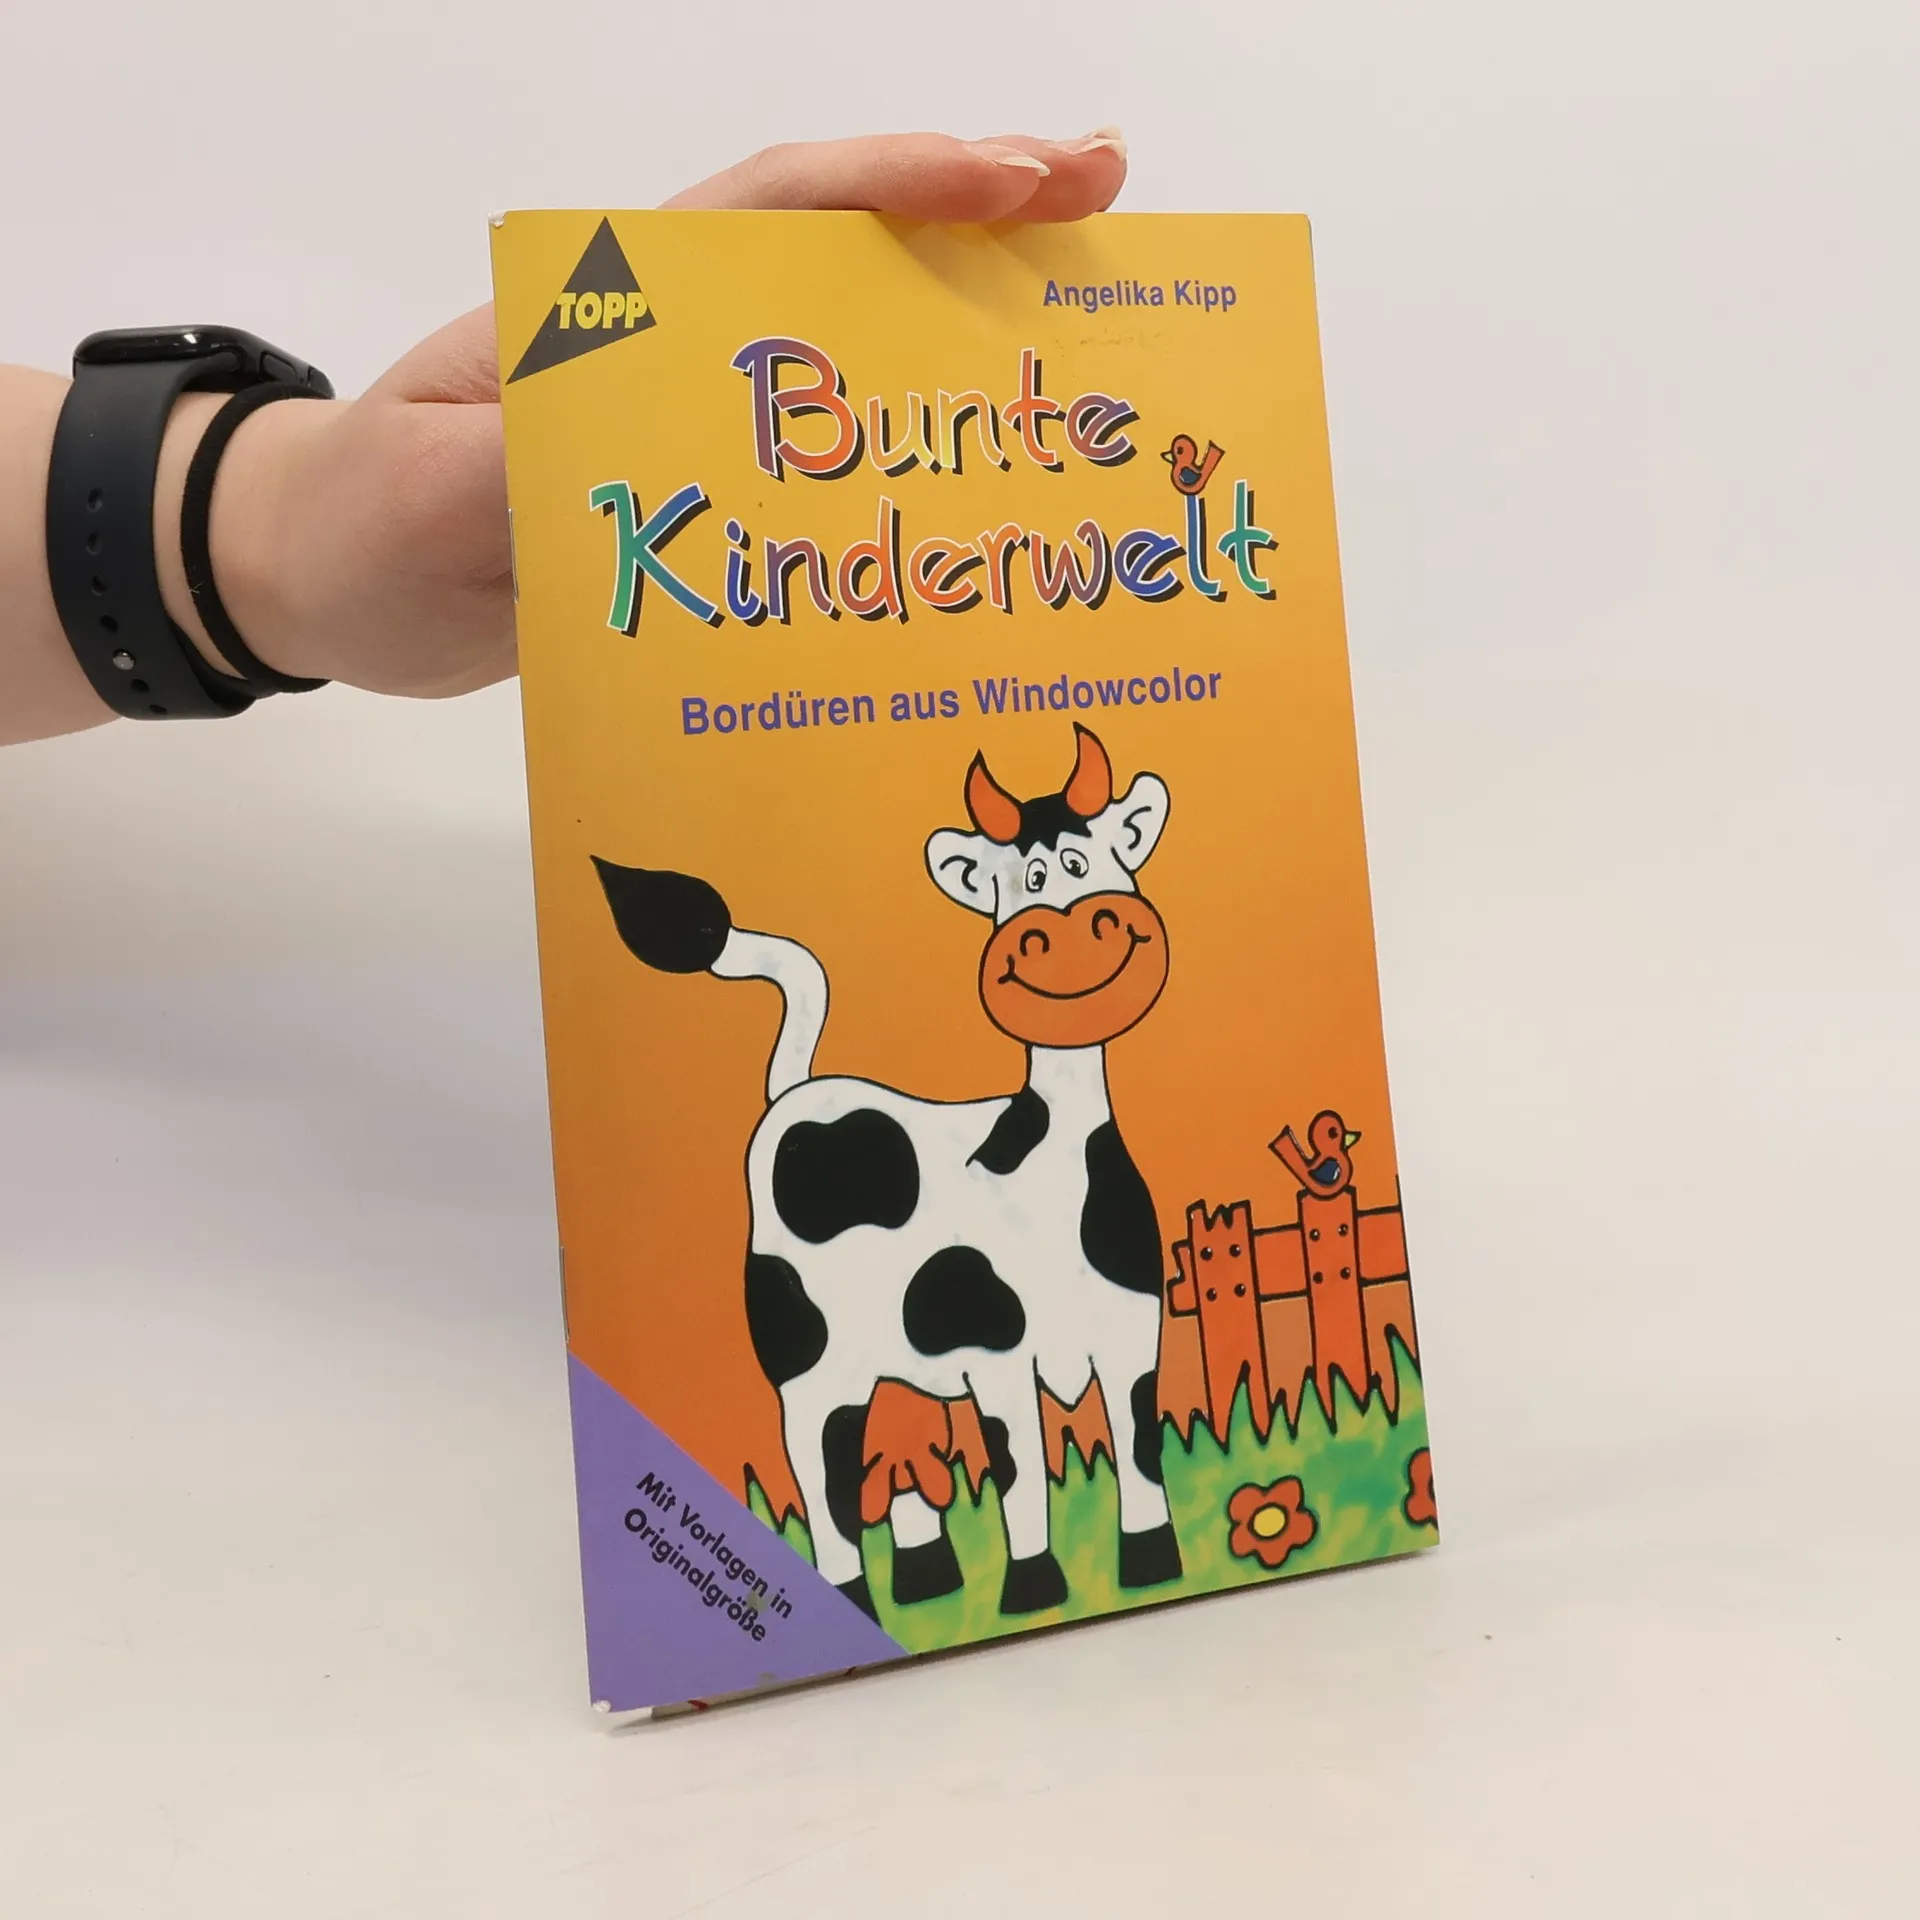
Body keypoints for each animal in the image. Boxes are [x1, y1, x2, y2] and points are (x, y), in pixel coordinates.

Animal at [592, 723, 1184, 1620]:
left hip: (895, 1361)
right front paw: (1033, 1590)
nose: (1069, 930)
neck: (1050, 1169)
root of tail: (798, 1093)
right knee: (825, 1486)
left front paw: (1152, 1568)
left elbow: (1141, 1452)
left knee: (896, 1455)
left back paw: (929, 1583)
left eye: (1094, 860)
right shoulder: (996, 1358)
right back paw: (853, 1607)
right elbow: (1017, 1474)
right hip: (805, 1372)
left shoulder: (1132, 1332)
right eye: (1026, 881)